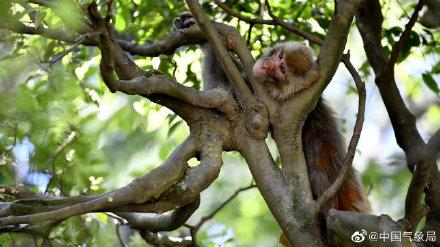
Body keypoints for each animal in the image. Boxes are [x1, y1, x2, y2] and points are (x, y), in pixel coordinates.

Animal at [174, 11, 370, 245]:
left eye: (282, 70)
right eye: (280, 57)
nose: (267, 66)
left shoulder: (258, 101)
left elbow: (223, 89)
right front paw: (195, 25)